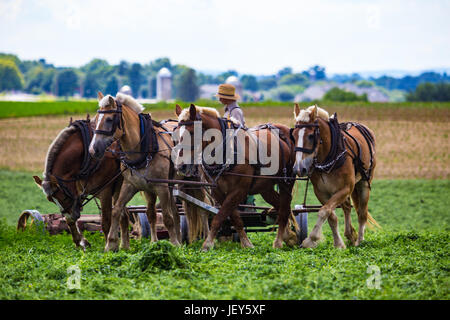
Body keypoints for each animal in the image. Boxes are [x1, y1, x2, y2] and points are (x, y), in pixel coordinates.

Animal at [31, 116, 124, 249]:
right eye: (51, 200)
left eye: (64, 197)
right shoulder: (78, 190)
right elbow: (70, 221)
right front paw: (80, 242)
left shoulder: (105, 189)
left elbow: (106, 221)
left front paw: (109, 246)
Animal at [174, 104, 298, 251]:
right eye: (177, 133)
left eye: (192, 132)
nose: (181, 166)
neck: (227, 151)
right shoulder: (219, 192)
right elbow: (234, 217)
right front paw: (246, 243)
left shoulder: (239, 190)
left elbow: (219, 217)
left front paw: (207, 244)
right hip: (265, 188)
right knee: (282, 206)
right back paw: (288, 235)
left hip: (287, 181)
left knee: (284, 208)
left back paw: (279, 242)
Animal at [292, 104, 380, 249]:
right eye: (293, 136)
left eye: (311, 136)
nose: (298, 168)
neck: (330, 156)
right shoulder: (321, 192)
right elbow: (330, 215)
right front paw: (338, 243)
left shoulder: (345, 189)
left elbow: (324, 211)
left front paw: (310, 239)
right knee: (347, 208)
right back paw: (350, 234)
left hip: (364, 182)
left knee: (362, 213)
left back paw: (360, 241)